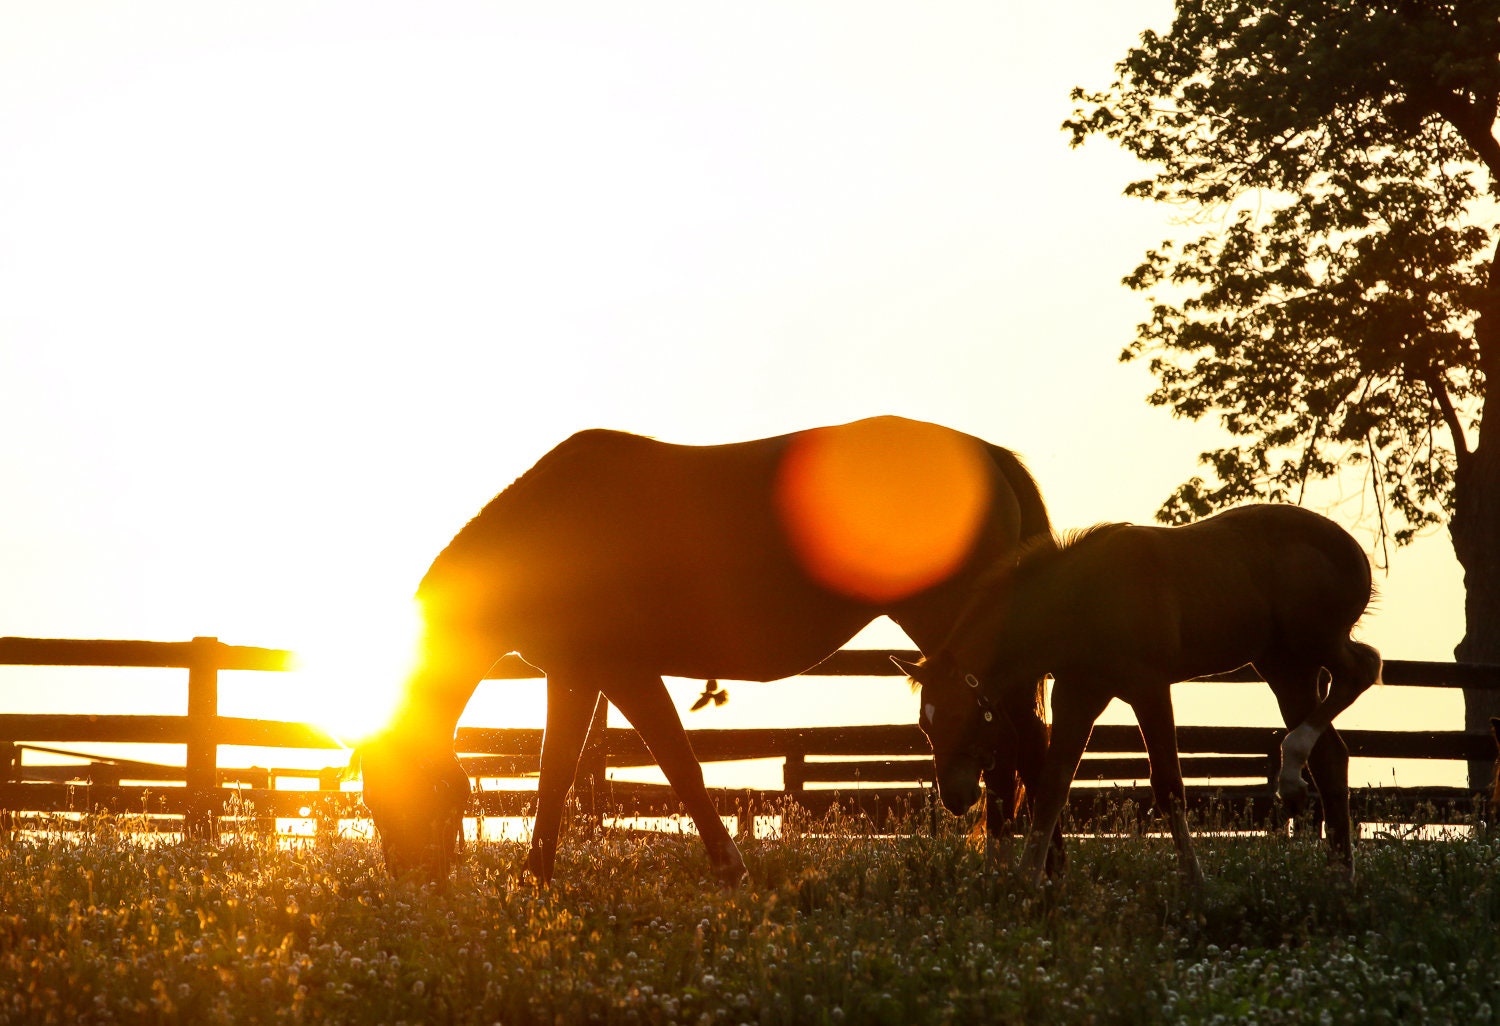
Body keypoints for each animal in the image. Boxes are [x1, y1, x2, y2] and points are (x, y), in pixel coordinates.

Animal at [357, 416, 1060, 884]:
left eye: (405, 794)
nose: (413, 879)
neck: (547, 535)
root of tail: (988, 455)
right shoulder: (577, 675)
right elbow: (556, 774)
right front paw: (537, 878)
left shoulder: (625, 673)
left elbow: (681, 769)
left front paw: (729, 870)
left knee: (1018, 737)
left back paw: (1028, 865)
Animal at [899, 503, 1382, 887]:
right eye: (925, 724)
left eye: (962, 716)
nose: (955, 797)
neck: (1082, 598)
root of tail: (1352, 549)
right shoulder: (1078, 694)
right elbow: (1053, 785)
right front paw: (1027, 879)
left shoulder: (1148, 688)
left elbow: (1168, 786)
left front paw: (1195, 882)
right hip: (1286, 667)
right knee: (1332, 755)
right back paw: (1339, 871)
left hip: (1312, 642)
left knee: (1364, 667)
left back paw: (1292, 768)